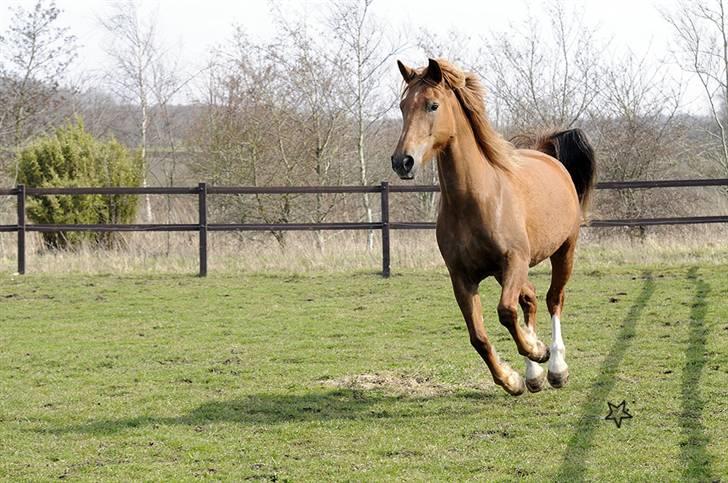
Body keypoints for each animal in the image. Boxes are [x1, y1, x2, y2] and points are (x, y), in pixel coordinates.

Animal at [390, 58, 596, 396]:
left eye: (433, 105)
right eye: (403, 106)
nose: (402, 162)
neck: (475, 200)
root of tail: (548, 156)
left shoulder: (514, 261)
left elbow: (506, 312)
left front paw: (538, 351)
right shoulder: (462, 277)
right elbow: (479, 336)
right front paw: (513, 379)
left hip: (563, 251)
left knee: (553, 299)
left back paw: (555, 367)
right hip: (510, 271)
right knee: (530, 299)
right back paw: (534, 374)